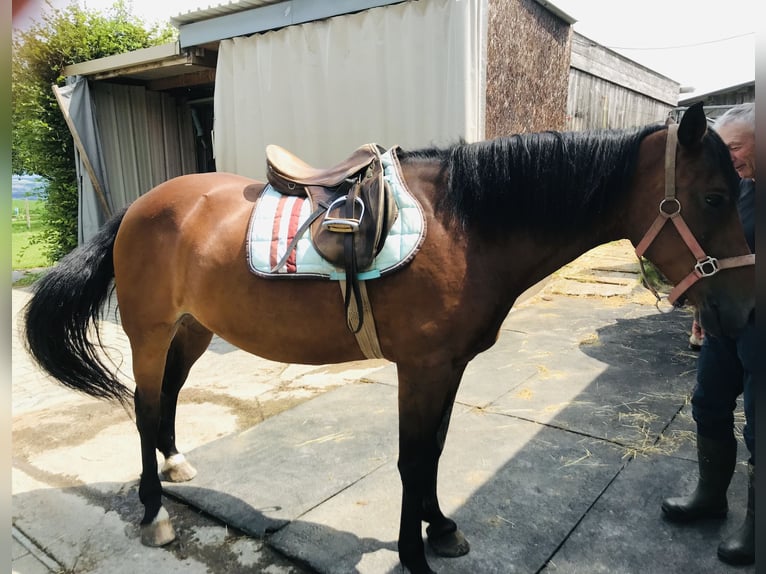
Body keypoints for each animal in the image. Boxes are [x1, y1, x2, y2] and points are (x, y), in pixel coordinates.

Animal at [22, 103, 756, 574]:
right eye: (716, 198)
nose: (742, 311)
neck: (465, 226)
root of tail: (139, 207)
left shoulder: (448, 367)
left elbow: (434, 452)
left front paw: (443, 529)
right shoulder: (421, 367)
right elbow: (411, 459)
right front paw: (413, 554)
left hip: (193, 329)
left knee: (168, 399)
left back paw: (175, 466)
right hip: (149, 331)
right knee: (144, 408)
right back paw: (153, 514)